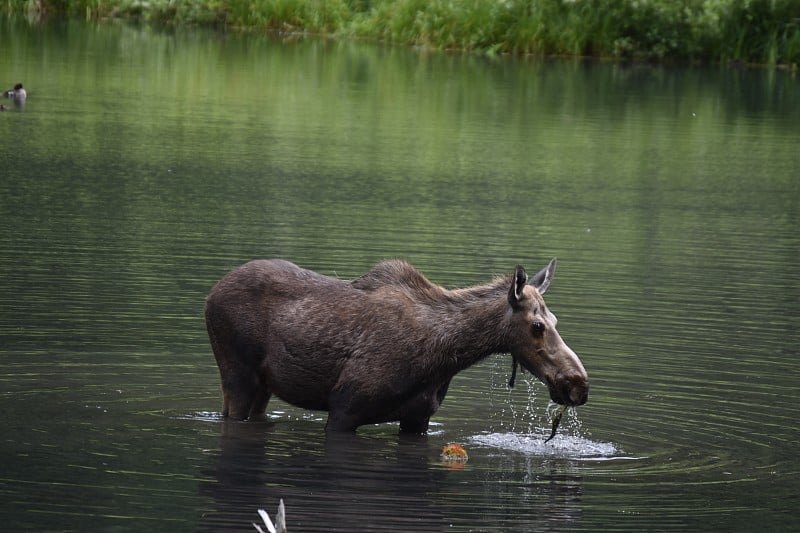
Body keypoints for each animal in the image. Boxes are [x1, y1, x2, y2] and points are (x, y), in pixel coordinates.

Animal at [206, 258, 588, 432]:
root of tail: (211, 294)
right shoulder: (344, 409)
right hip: (237, 374)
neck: (444, 357)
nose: (578, 384)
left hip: (264, 386)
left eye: (556, 321)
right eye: (537, 325)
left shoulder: (418, 419)